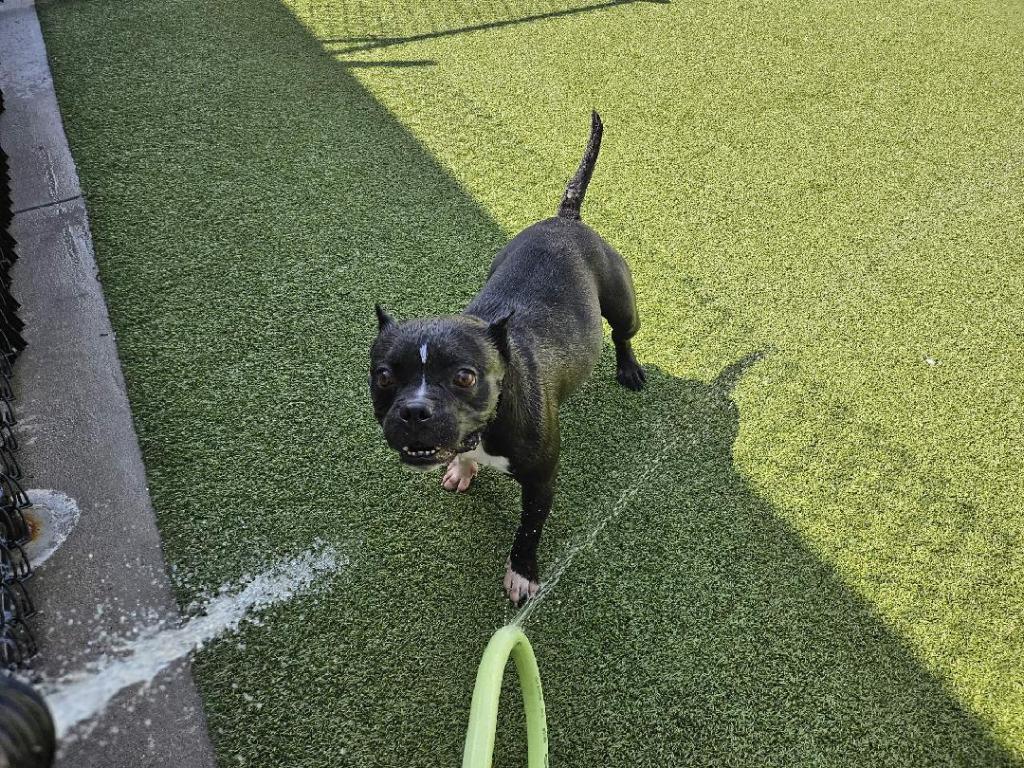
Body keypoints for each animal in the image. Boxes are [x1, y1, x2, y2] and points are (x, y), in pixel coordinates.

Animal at [369, 111, 644, 604]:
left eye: (464, 377)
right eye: (383, 376)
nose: (415, 411)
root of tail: (566, 218)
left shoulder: (541, 482)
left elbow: (528, 531)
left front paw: (522, 574)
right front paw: (463, 468)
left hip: (622, 302)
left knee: (623, 332)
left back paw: (628, 368)